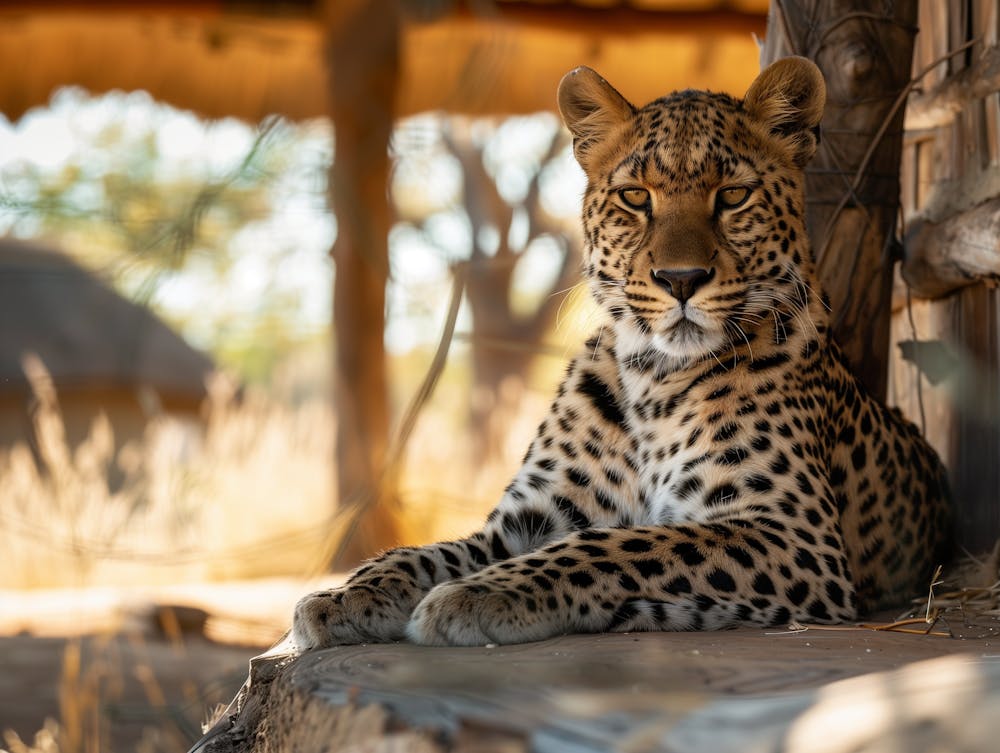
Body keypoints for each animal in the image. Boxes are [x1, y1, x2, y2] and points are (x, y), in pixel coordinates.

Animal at [293, 56, 952, 649]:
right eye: (636, 197)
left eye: (733, 195)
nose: (682, 279)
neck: (651, 377)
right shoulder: (532, 516)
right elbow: (428, 552)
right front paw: (344, 595)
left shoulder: (789, 529)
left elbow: (621, 544)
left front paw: (478, 594)